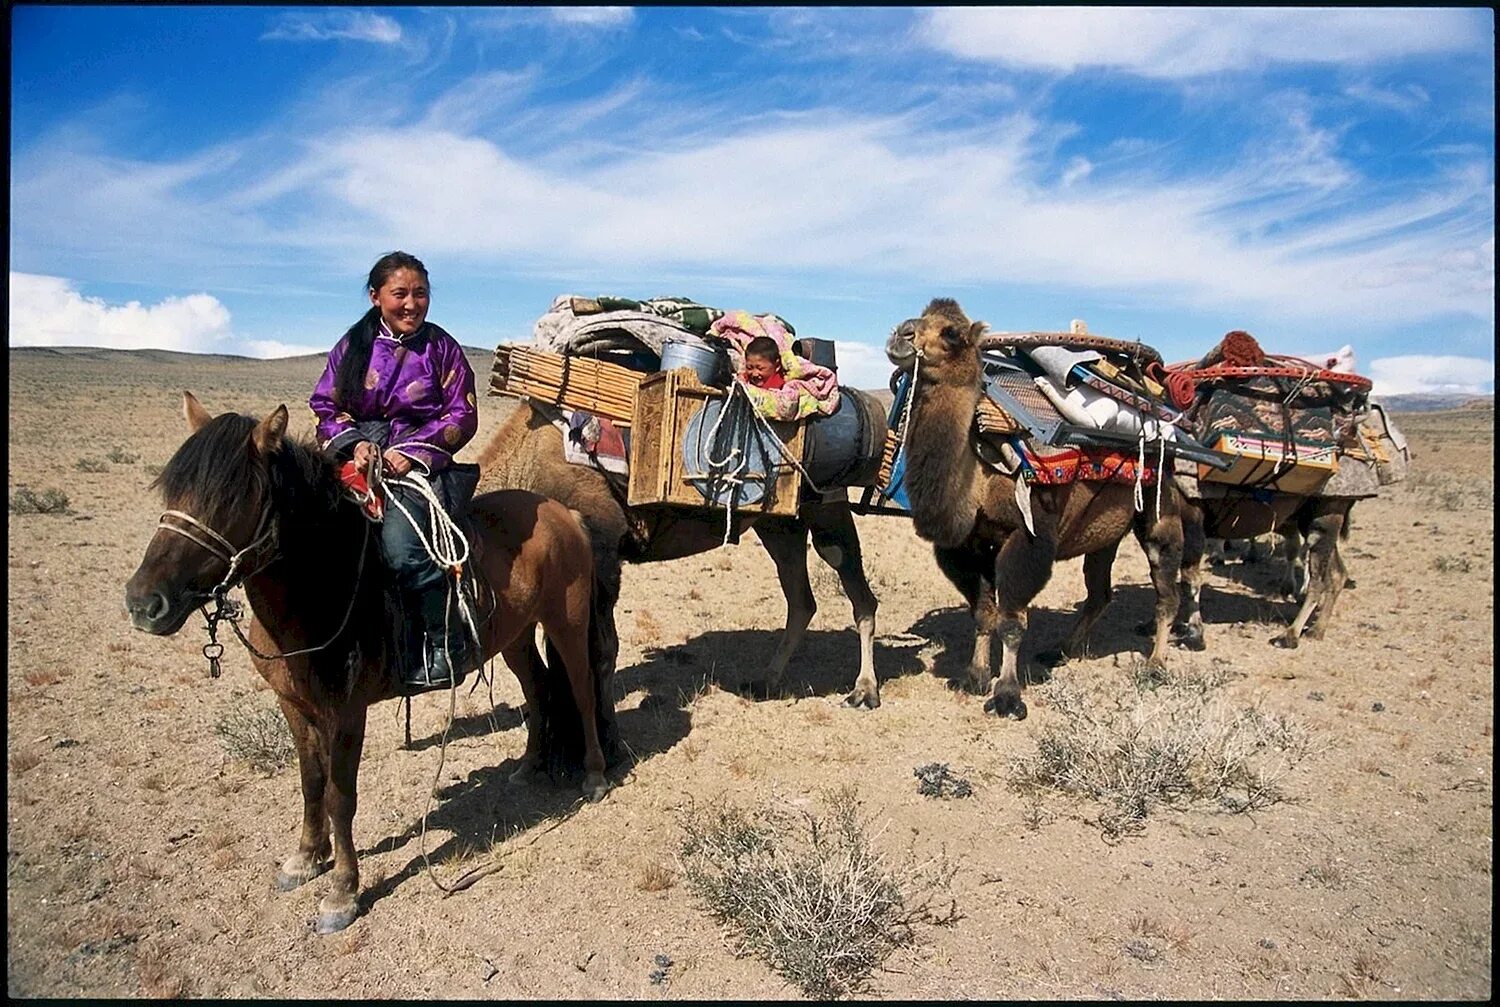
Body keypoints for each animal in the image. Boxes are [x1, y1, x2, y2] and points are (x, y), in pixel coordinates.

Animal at [120, 393, 606, 936]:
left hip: (566, 621)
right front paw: (305, 858)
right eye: (173, 490)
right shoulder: (294, 705)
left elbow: (340, 796)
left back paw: (594, 776)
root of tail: (565, 513)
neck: (322, 586)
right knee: (538, 689)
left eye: (230, 500)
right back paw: (528, 766)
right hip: (516, 636)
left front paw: (342, 893)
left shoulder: (346, 712)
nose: (144, 603)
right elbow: (310, 782)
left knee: (581, 688)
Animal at [882, 295, 1188, 720]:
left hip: (1159, 506)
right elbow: (983, 614)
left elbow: (1011, 619)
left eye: (952, 333)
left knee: (1165, 590)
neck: (980, 477)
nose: (901, 333)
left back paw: (1156, 665)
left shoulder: (1029, 536)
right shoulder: (966, 547)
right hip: (1104, 535)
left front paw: (1007, 696)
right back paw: (1062, 650)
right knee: (1099, 591)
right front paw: (974, 677)